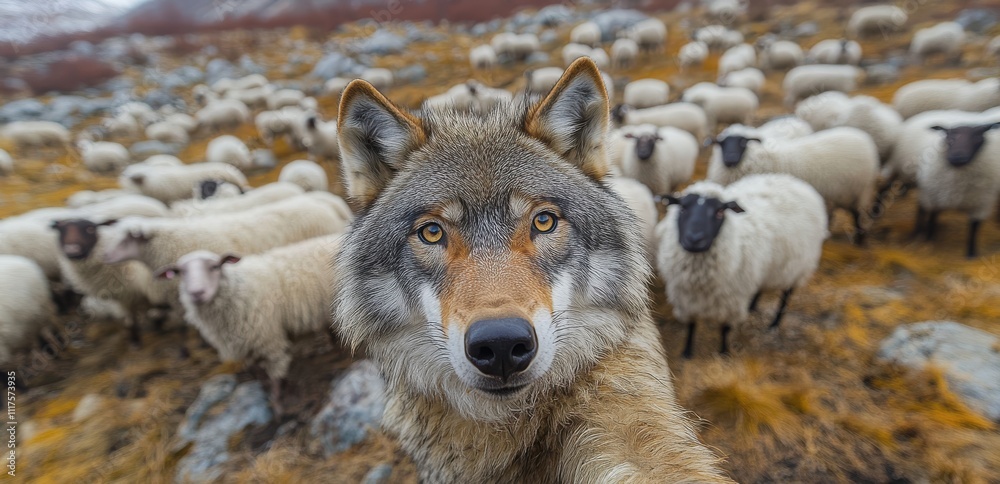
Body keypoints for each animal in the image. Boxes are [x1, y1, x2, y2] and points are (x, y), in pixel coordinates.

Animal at [655, 174, 828, 357]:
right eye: (682, 208)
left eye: (720, 212)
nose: (694, 239)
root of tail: (795, 181)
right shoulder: (685, 298)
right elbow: (691, 326)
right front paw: (687, 352)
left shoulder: (733, 300)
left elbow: (725, 328)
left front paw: (724, 352)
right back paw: (752, 306)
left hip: (798, 267)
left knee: (786, 296)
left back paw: (774, 324)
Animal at [707, 126, 878, 240]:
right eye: (721, 143)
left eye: (743, 142)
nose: (730, 159)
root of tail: (861, 136)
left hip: (859, 190)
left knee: (858, 214)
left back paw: (859, 239)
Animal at [915, 121, 1000, 258]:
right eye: (949, 137)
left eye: (977, 137)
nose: (957, 158)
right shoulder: (935, 199)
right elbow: (932, 219)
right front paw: (929, 239)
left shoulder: (981, 205)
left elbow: (974, 229)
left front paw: (971, 253)